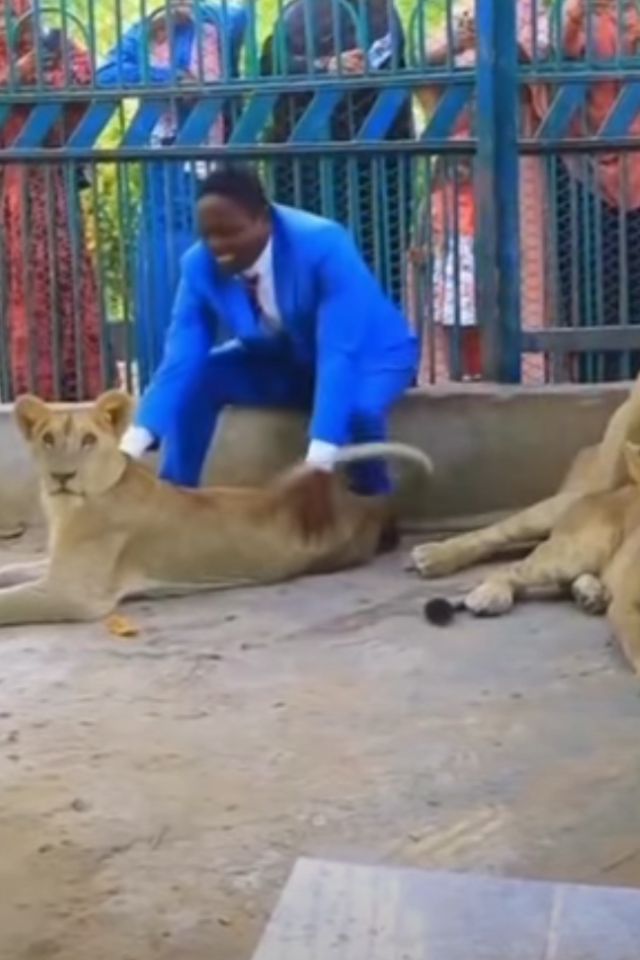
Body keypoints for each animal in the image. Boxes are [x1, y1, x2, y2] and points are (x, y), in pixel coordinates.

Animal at [0, 392, 432, 632]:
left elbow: (10, 600)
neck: (64, 508)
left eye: (88, 440)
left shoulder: (74, 594)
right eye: (48, 439)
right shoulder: (57, 567)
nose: (62, 476)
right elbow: (14, 571)